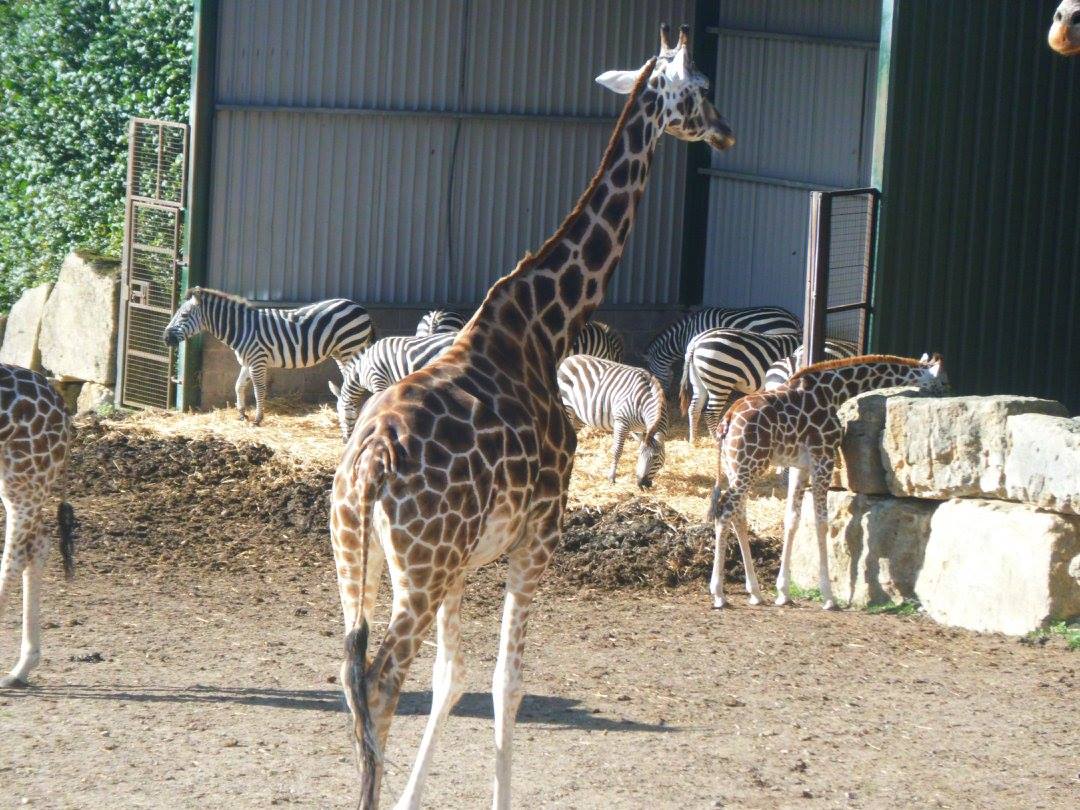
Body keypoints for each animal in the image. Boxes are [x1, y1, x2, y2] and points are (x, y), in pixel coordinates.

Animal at [329, 24, 734, 809]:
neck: (545, 321)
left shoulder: (466, 561)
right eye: (701, 86)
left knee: (351, 674)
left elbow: (454, 678)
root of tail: (367, 467)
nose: (727, 131)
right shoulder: (537, 537)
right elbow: (505, 683)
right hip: (421, 565)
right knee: (384, 677)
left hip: (360, 556)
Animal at [708, 354, 946, 611]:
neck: (834, 391)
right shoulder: (824, 457)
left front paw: (783, 592)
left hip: (736, 468)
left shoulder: (800, 466)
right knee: (724, 513)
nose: (945, 394)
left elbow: (792, 519)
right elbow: (822, 522)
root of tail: (727, 420)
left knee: (738, 516)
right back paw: (719, 594)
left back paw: (755, 593)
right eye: (942, 382)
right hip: (750, 465)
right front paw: (829, 597)